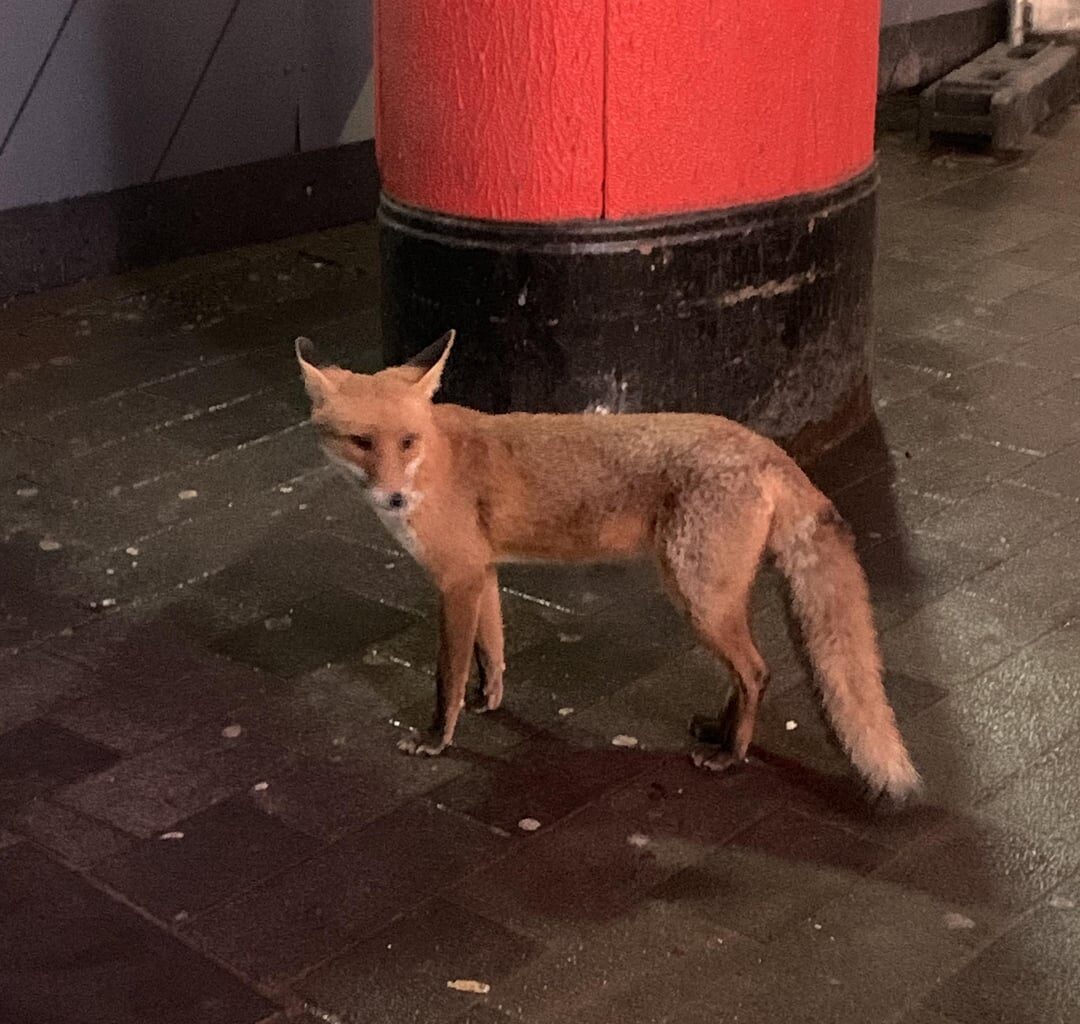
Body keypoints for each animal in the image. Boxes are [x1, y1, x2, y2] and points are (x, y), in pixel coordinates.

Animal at [295, 332, 920, 803]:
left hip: (696, 596)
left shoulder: (457, 579)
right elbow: (492, 650)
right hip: (712, 600)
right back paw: (720, 729)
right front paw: (489, 701)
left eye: (406, 441)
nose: (395, 498)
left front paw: (436, 739)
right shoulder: (482, 572)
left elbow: (446, 673)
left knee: (757, 671)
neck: (436, 459)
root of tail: (766, 448)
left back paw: (731, 755)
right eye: (360, 442)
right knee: (748, 672)